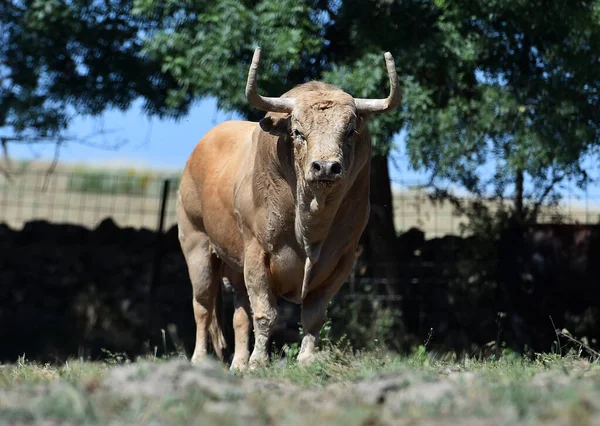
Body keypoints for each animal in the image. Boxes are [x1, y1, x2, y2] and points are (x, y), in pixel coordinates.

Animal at [178, 46, 404, 370]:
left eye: (350, 131)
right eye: (297, 131)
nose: (326, 167)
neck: (311, 225)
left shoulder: (342, 260)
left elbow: (314, 315)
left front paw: (306, 359)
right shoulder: (257, 252)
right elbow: (265, 313)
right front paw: (259, 362)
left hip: (234, 264)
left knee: (238, 315)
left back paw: (238, 364)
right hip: (196, 245)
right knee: (203, 306)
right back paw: (200, 359)